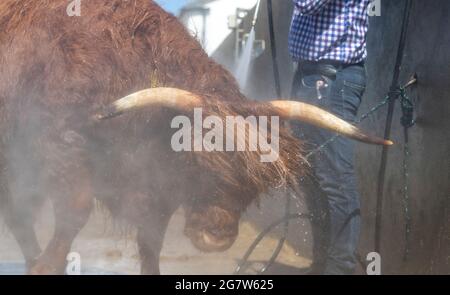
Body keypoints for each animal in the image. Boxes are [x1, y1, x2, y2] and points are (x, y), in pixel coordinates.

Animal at [0, 1, 390, 276]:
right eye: (198, 162)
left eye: (257, 183)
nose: (217, 238)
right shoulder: (59, 147)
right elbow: (73, 213)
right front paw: (43, 266)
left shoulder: (157, 184)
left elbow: (152, 240)